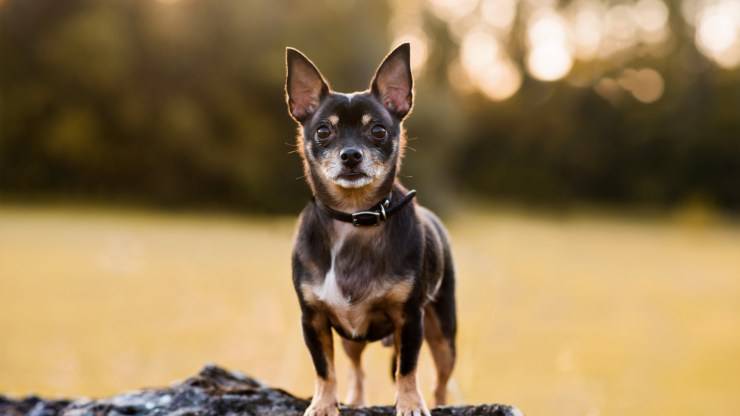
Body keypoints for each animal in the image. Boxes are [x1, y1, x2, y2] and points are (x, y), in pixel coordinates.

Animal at [284, 43, 454, 416]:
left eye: (378, 131)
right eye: (323, 131)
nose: (351, 155)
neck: (355, 217)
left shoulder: (410, 319)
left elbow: (408, 368)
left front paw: (410, 403)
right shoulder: (314, 319)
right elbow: (325, 369)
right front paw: (323, 404)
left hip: (443, 334)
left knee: (441, 380)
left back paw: (438, 402)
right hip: (352, 336)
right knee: (356, 370)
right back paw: (356, 400)